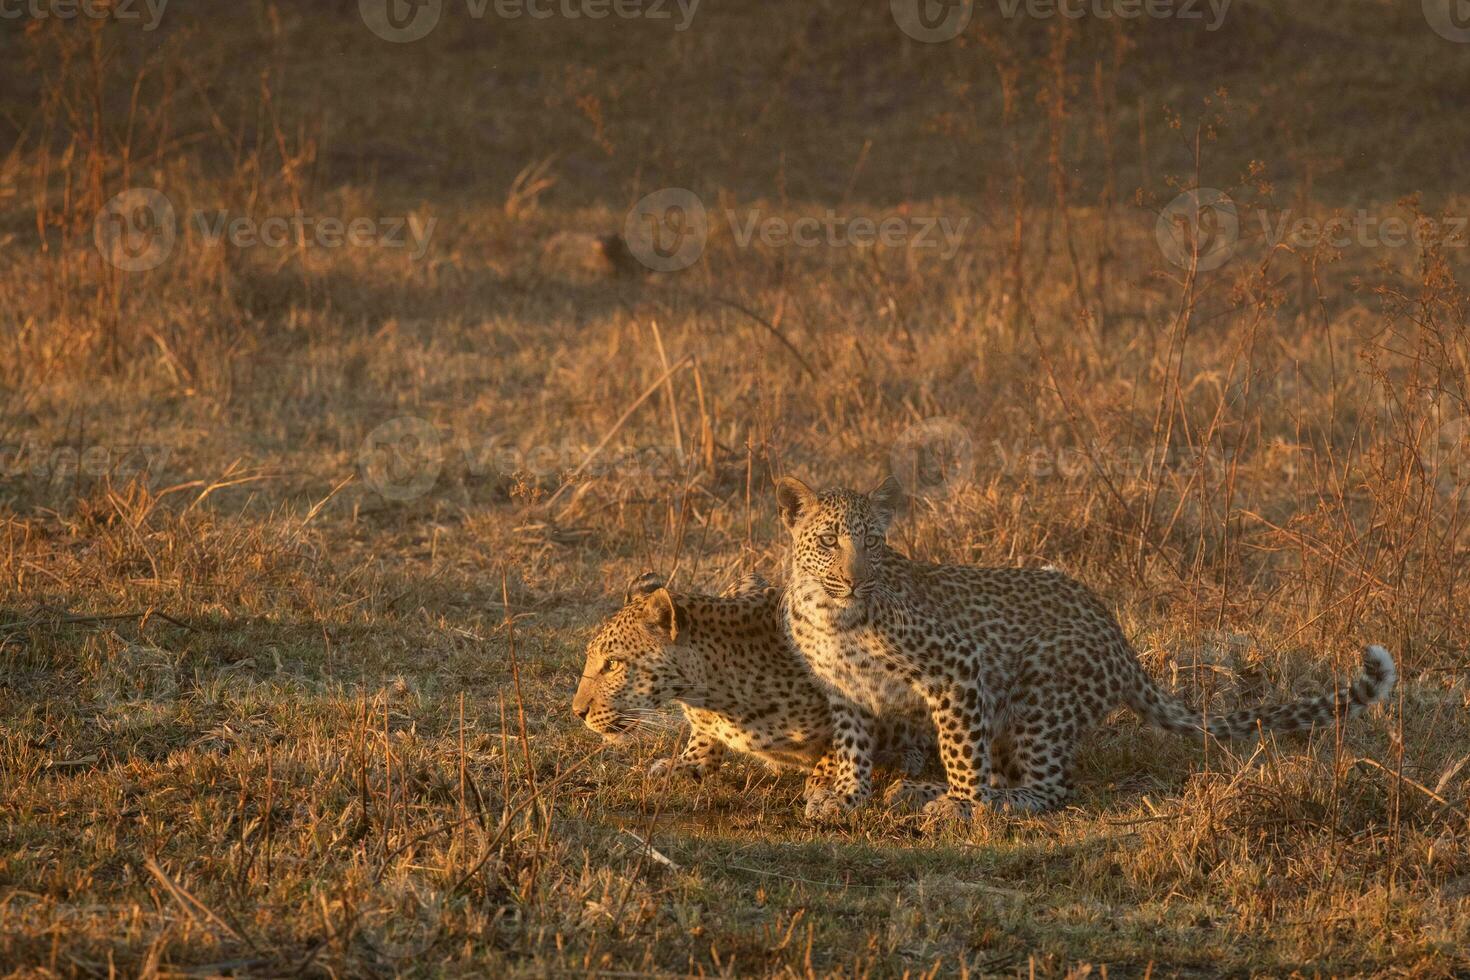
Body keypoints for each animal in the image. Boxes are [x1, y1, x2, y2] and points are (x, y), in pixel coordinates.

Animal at [776, 476, 1393, 828]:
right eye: (830, 541)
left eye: (874, 543)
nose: (856, 580)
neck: (831, 616)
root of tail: (1119, 638)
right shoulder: (845, 691)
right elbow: (852, 749)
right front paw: (845, 796)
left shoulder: (958, 668)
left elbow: (960, 752)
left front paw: (962, 807)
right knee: (1012, 773)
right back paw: (914, 790)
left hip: (1040, 698)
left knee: (1048, 787)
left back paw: (971, 801)